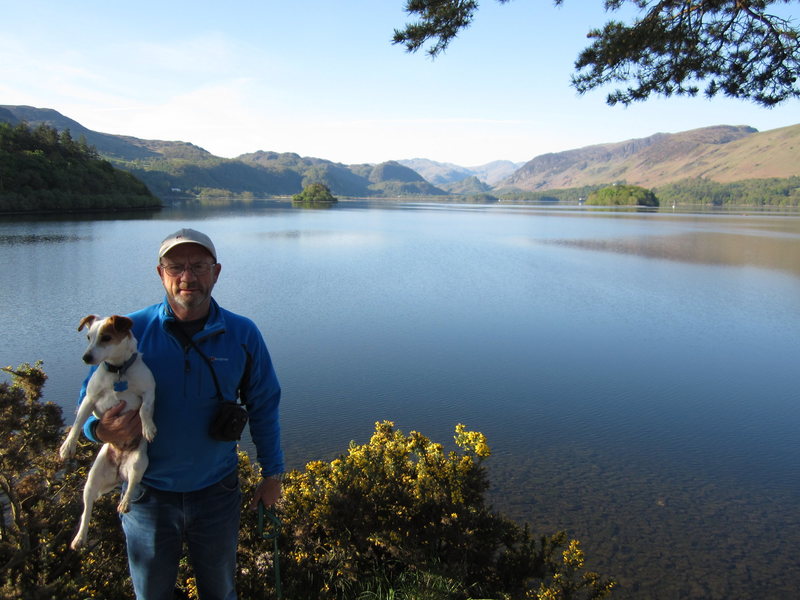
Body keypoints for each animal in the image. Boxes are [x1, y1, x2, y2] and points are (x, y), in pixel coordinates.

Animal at [59, 316, 156, 552]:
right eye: (88, 337)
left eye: (106, 337)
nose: (86, 358)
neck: (118, 370)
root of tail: (119, 470)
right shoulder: (89, 399)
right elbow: (78, 422)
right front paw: (68, 447)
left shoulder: (149, 390)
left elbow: (144, 410)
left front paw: (148, 428)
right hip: (92, 481)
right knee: (86, 511)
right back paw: (80, 538)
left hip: (139, 463)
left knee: (132, 486)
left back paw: (125, 502)